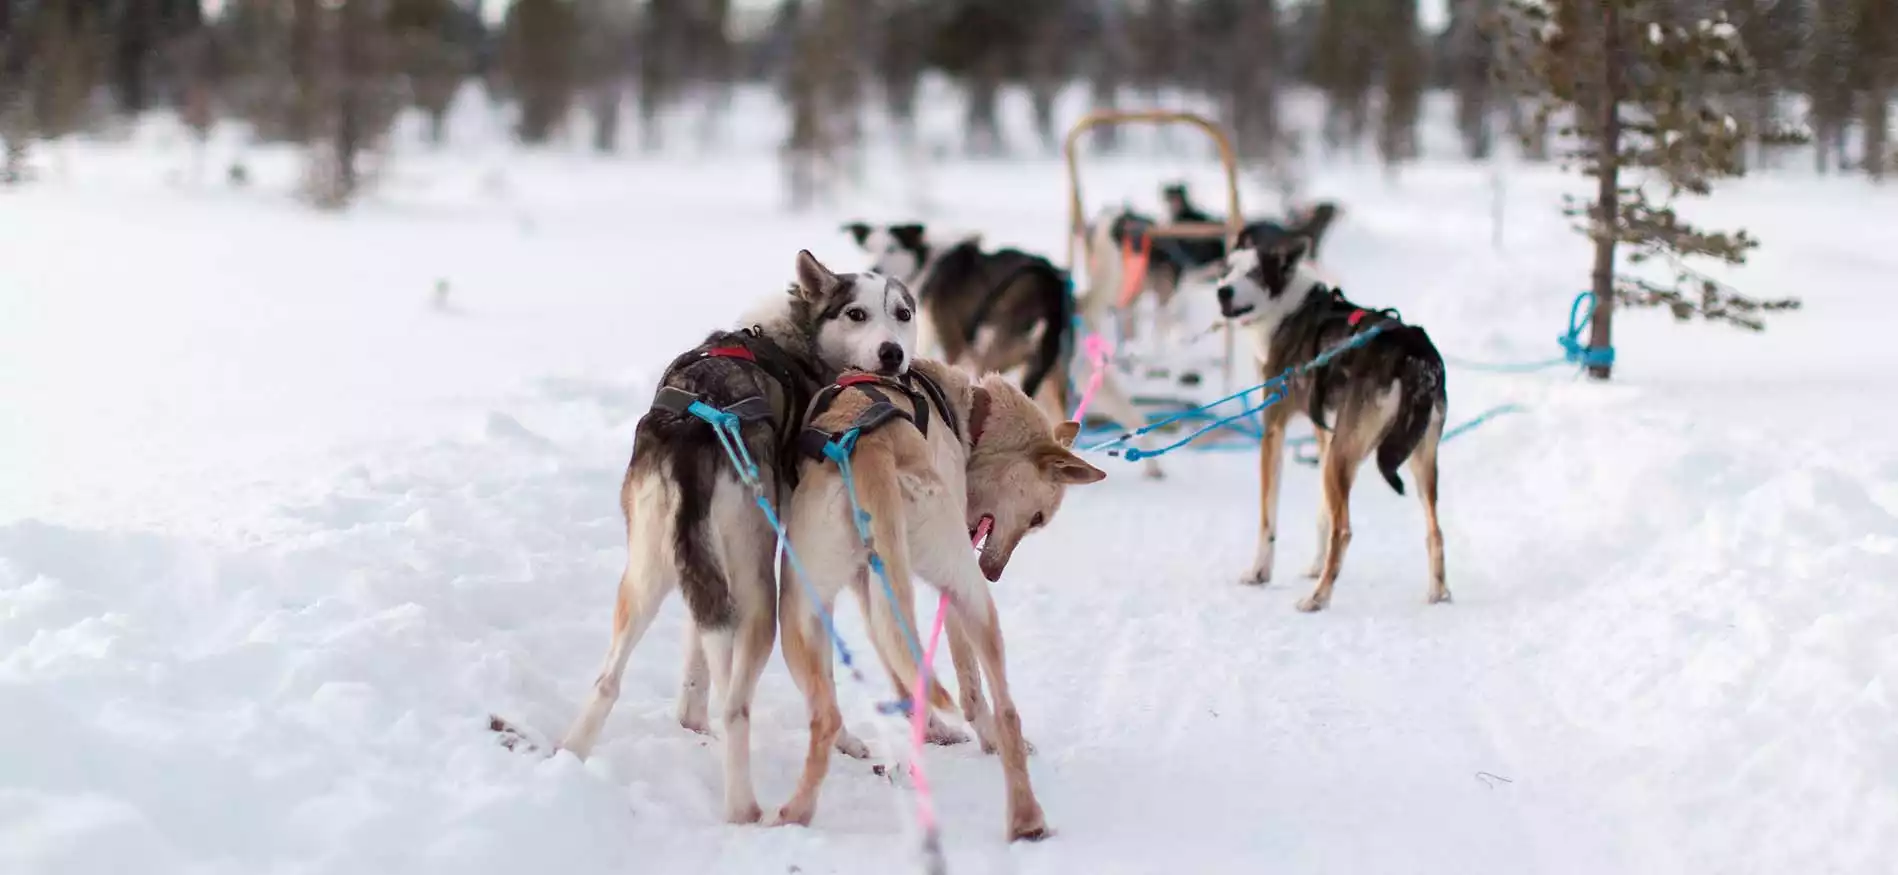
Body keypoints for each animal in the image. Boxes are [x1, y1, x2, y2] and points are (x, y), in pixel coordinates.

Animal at [766, 356, 1108, 838]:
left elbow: (900, 665)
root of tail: (869, 448)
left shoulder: (869, 588)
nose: (994, 573)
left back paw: (796, 812)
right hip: (969, 593)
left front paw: (928, 727)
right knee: (1005, 710)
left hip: (799, 611)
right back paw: (1026, 814)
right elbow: (969, 687)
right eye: (1038, 518)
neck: (970, 416)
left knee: (828, 714)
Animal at [1214, 231, 1450, 614]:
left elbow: (1267, 517)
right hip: (1416, 458)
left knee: (1345, 531)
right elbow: (1322, 512)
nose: (1223, 291)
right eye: (1226, 270)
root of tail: (1412, 352)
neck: (1289, 311)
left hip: (1344, 455)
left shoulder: (1274, 430)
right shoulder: (1324, 433)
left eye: (1255, 274)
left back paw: (1317, 597)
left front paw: (1259, 572)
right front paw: (1315, 564)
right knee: (1435, 531)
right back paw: (1438, 593)